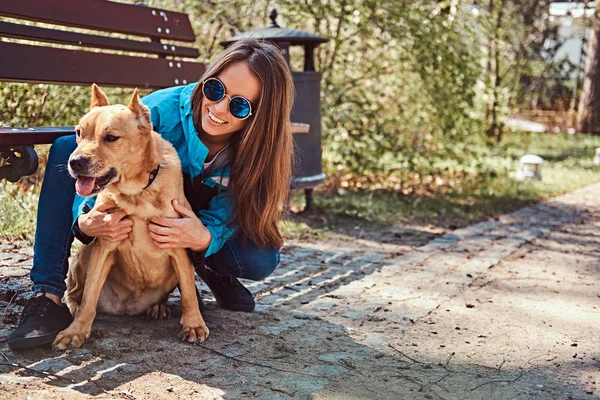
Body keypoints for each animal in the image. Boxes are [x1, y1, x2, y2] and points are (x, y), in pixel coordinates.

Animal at [54, 85, 209, 350]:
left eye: (111, 138)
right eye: (78, 133)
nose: (75, 162)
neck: (137, 194)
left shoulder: (179, 246)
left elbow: (189, 292)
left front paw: (193, 324)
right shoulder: (104, 246)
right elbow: (89, 298)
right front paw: (76, 331)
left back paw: (158, 307)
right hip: (85, 254)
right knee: (76, 294)